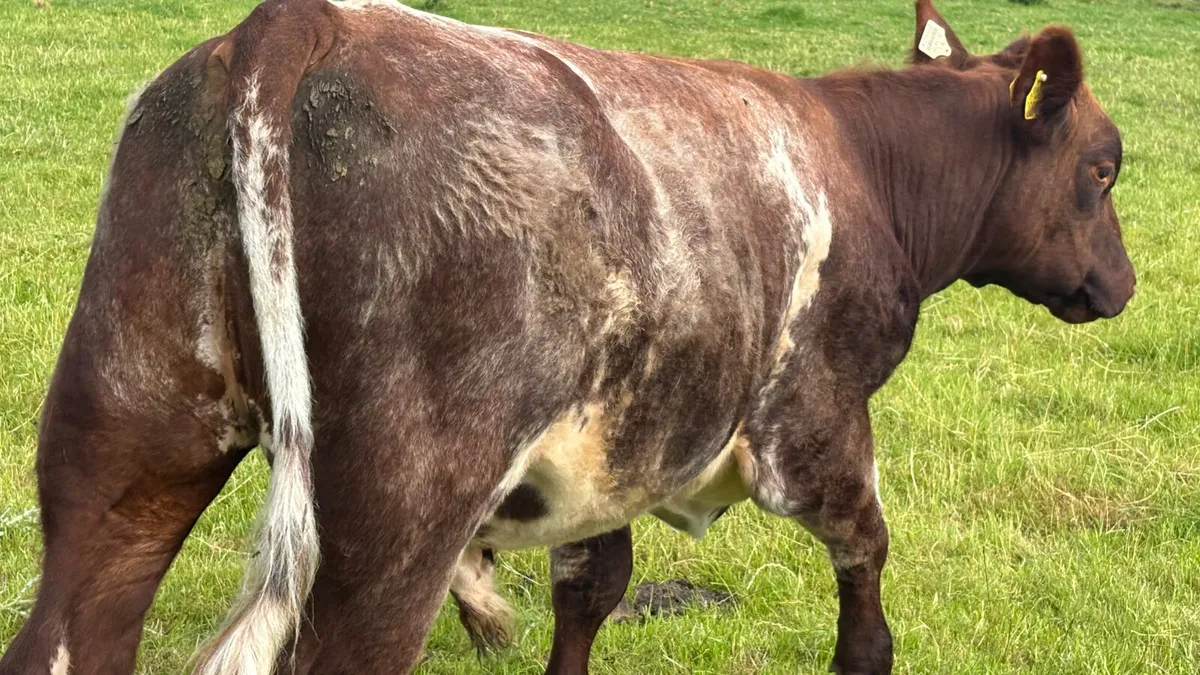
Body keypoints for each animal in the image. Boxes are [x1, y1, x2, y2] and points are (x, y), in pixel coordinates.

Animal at [0, 0, 1134, 673]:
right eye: (1104, 165)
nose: (1121, 285)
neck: (863, 165)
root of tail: (297, 23)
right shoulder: (816, 420)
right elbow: (867, 575)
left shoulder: (612, 444)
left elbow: (591, 588)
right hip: (391, 517)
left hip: (124, 441)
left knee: (67, 627)